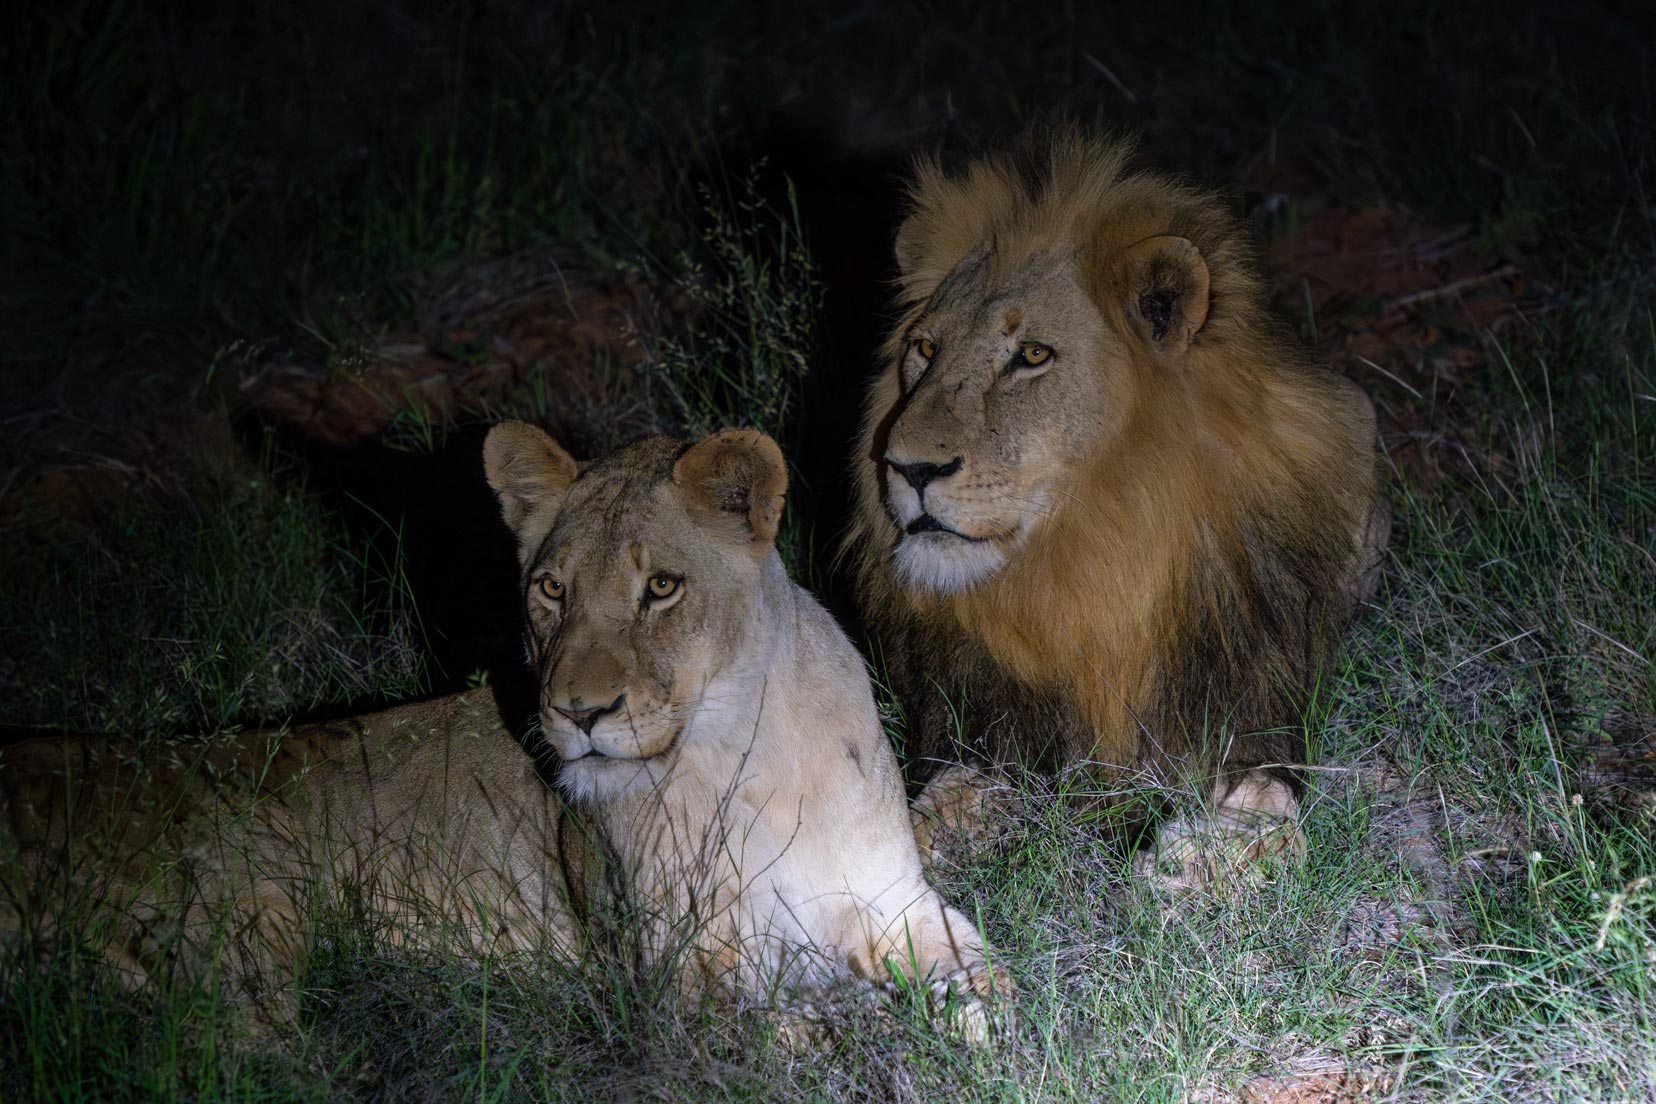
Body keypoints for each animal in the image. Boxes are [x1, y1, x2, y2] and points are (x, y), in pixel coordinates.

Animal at [0, 430, 993, 1026]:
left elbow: (984, 967)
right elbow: (801, 1026)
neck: (739, 760)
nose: (580, 713)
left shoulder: (893, 897)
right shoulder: (676, 969)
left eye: (661, 587)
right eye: (550, 589)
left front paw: (973, 1018)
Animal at [847, 134, 1391, 893]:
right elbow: (938, 794)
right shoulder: (985, 716)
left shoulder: (1253, 688)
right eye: (925, 349)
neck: (1089, 558)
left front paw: (1200, 861)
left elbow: (1264, 789)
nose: (908, 469)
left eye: (1032, 355)